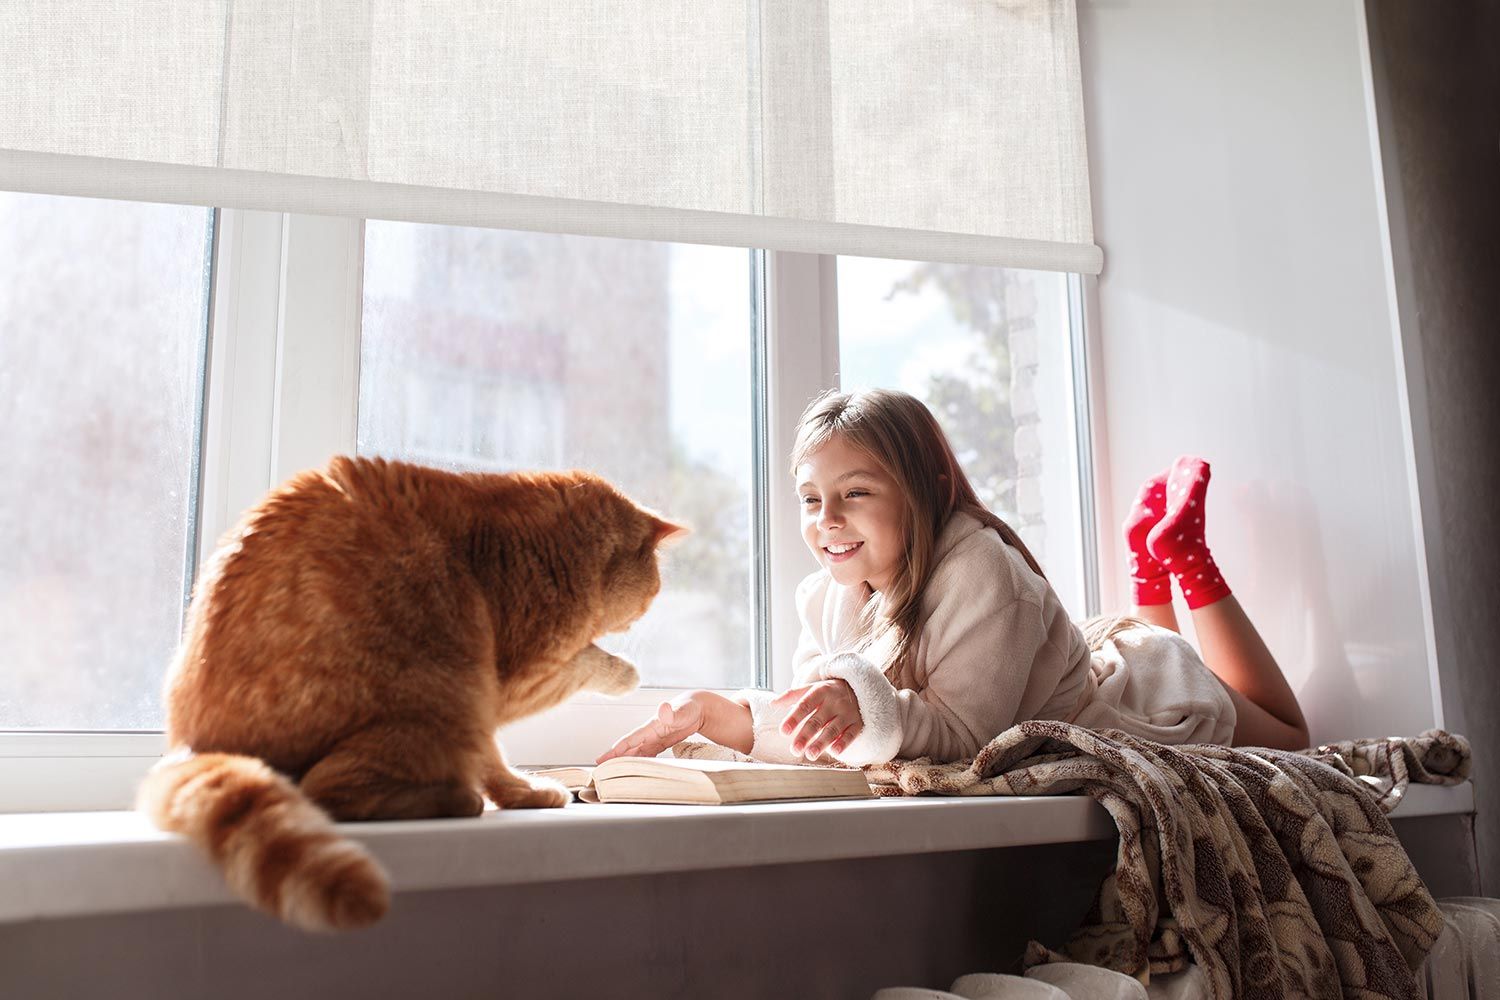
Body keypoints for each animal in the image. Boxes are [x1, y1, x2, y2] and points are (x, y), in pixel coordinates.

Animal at [138, 458, 684, 935]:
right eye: (654, 587)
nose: (651, 605)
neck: (555, 544)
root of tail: (196, 744)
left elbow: (495, 759)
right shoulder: (513, 679)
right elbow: (581, 669)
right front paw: (624, 675)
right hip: (444, 695)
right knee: (331, 790)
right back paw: (457, 799)